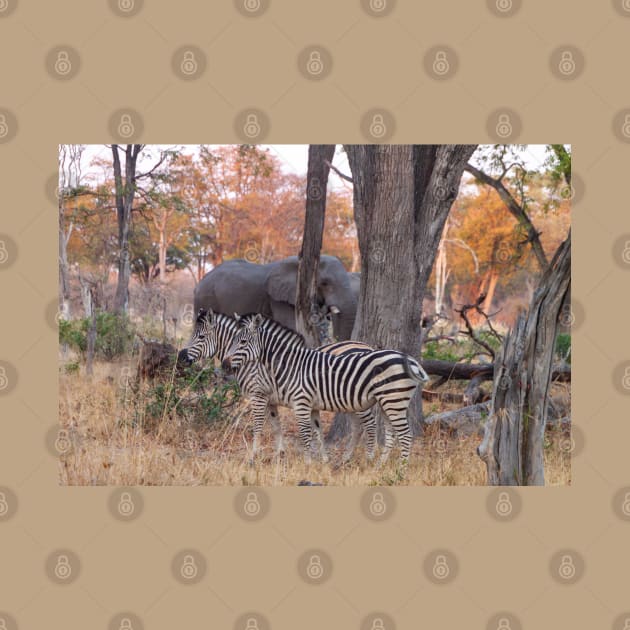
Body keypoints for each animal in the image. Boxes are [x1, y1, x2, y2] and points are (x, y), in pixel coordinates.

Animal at [179, 310, 380, 464]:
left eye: (201, 337)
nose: (181, 357)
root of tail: (367, 347)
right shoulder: (270, 400)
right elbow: (277, 426)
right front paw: (280, 454)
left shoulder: (258, 395)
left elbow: (258, 426)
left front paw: (253, 457)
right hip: (350, 401)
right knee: (357, 427)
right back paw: (346, 458)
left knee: (369, 425)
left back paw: (369, 458)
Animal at [221, 314, 430, 466]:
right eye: (232, 341)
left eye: (242, 342)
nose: (224, 365)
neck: (290, 366)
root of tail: (410, 360)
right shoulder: (309, 404)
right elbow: (315, 432)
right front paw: (319, 461)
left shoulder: (298, 402)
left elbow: (304, 433)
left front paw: (306, 463)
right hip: (388, 401)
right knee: (391, 432)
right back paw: (379, 465)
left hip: (393, 400)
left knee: (404, 434)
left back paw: (401, 469)